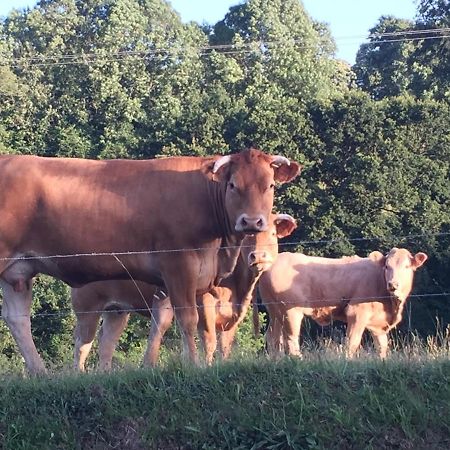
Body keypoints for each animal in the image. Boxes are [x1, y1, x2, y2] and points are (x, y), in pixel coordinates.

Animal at [72, 213, 298, 370]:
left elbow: (225, 345)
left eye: (273, 234)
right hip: (87, 307)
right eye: (248, 237)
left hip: (117, 311)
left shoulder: (235, 311)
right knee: (82, 344)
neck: (236, 286)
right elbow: (209, 340)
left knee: (106, 343)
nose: (258, 256)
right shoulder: (204, 302)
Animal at [258, 246, 428, 358]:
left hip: (275, 310)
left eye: (407, 266)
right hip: (290, 310)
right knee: (291, 338)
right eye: (387, 266)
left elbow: (382, 347)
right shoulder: (356, 313)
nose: (393, 284)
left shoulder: (378, 324)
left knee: (273, 337)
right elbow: (352, 343)